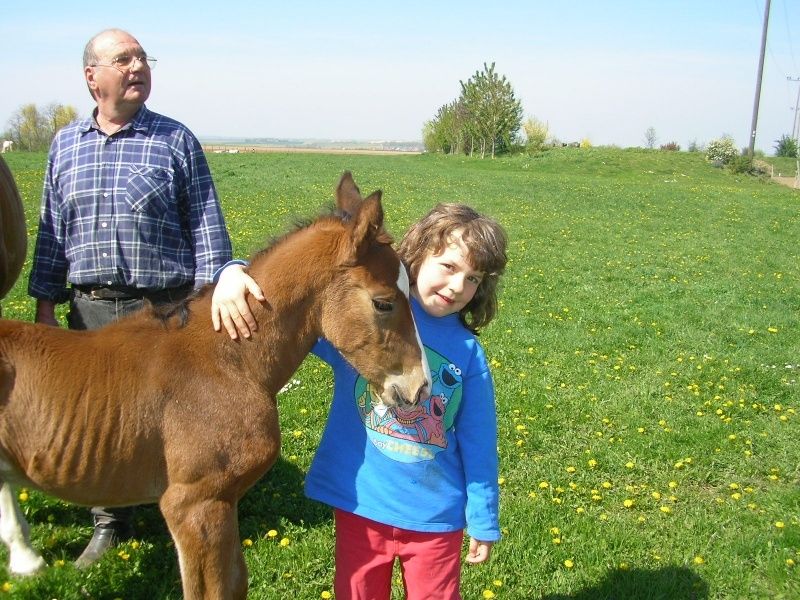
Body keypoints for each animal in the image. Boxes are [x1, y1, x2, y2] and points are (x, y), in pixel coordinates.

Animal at [0, 171, 432, 596]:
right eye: (383, 302)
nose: (420, 387)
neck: (229, 362)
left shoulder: (223, 500)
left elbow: (236, 582)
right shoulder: (194, 503)